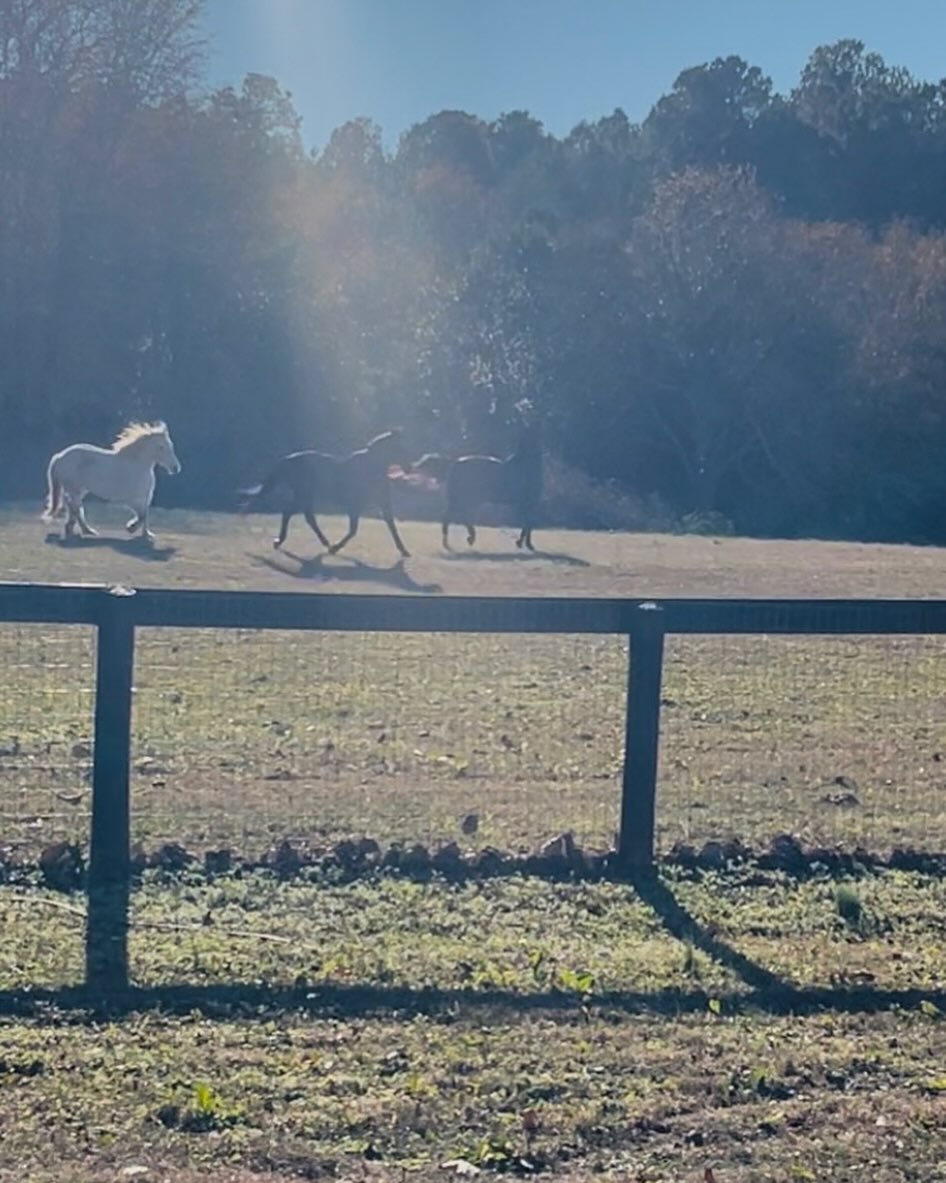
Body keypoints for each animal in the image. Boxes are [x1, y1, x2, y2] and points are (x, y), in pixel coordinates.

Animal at [42, 421, 181, 542]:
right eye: (161, 447)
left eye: (171, 446)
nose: (176, 468)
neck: (137, 467)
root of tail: (60, 456)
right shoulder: (131, 500)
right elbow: (142, 516)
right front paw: (131, 528)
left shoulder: (145, 498)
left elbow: (145, 516)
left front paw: (146, 535)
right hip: (74, 489)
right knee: (74, 507)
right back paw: (85, 530)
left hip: (79, 490)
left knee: (72, 506)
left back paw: (75, 529)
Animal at [239, 429, 415, 558]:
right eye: (401, 448)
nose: (410, 467)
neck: (373, 468)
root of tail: (288, 458)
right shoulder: (355, 506)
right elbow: (353, 530)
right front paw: (335, 548)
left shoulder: (383, 504)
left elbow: (392, 526)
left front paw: (404, 551)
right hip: (304, 495)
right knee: (292, 513)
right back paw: (286, 541)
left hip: (305, 496)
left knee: (304, 516)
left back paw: (318, 542)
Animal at [408, 424, 543, 551]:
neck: (524, 464)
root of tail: (454, 462)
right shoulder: (529, 502)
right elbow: (528, 523)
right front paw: (526, 544)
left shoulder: (525, 503)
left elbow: (527, 523)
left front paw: (522, 543)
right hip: (463, 500)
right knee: (450, 516)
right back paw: (455, 541)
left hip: (468, 500)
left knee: (459, 516)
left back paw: (467, 538)